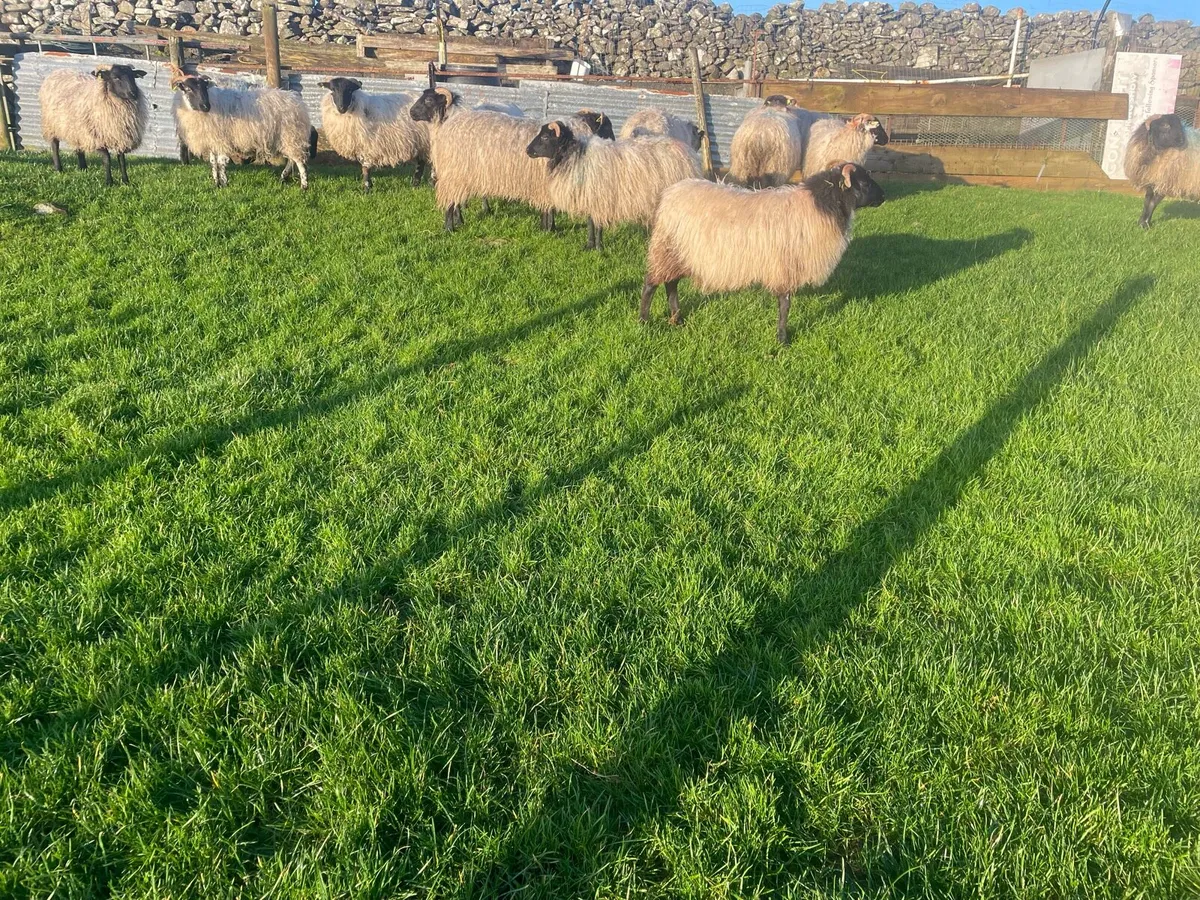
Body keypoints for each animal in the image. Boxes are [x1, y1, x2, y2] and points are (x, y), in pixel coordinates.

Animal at [172, 71, 313, 189]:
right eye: (188, 89)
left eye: (204, 87)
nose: (206, 106)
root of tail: (296, 101)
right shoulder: (212, 141)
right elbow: (213, 163)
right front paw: (216, 183)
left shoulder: (222, 140)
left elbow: (221, 163)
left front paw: (224, 184)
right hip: (287, 138)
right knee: (291, 160)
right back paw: (283, 178)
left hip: (291, 135)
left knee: (299, 161)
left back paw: (304, 186)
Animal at [409, 87, 614, 231]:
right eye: (607, 127)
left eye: (428, 99)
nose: (411, 113)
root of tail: (451, 125)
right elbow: (549, 208)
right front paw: (550, 229)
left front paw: (547, 227)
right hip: (456, 173)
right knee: (450, 201)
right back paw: (450, 228)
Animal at [526, 120, 702, 250]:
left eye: (545, 137)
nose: (527, 150)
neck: (576, 155)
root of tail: (689, 154)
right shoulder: (592, 197)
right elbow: (591, 222)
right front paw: (589, 245)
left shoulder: (600, 197)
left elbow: (597, 225)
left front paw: (598, 248)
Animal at [642, 162, 885, 344]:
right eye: (864, 182)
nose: (884, 196)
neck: (820, 205)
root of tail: (670, 193)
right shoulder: (785, 267)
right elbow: (785, 306)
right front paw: (783, 339)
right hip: (666, 248)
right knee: (651, 284)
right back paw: (644, 321)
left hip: (678, 253)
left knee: (671, 284)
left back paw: (677, 318)